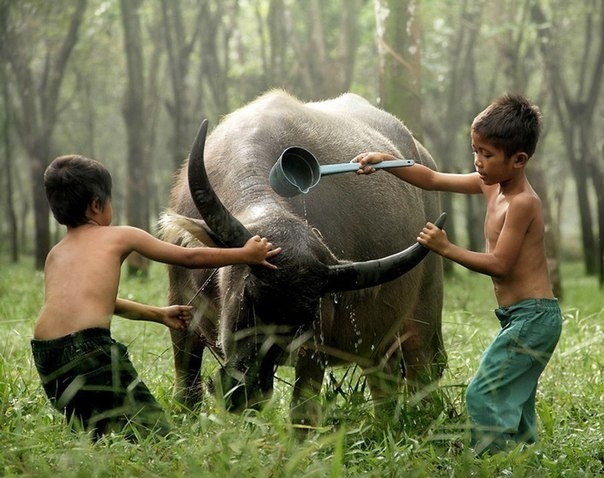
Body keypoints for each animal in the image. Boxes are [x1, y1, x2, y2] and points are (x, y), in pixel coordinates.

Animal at [160, 91, 444, 428]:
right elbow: (186, 386)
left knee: (423, 370)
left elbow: (303, 411)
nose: (244, 391)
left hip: (425, 313)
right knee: (383, 382)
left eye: (304, 318)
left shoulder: (315, 345)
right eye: (249, 294)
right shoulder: (181, 303)